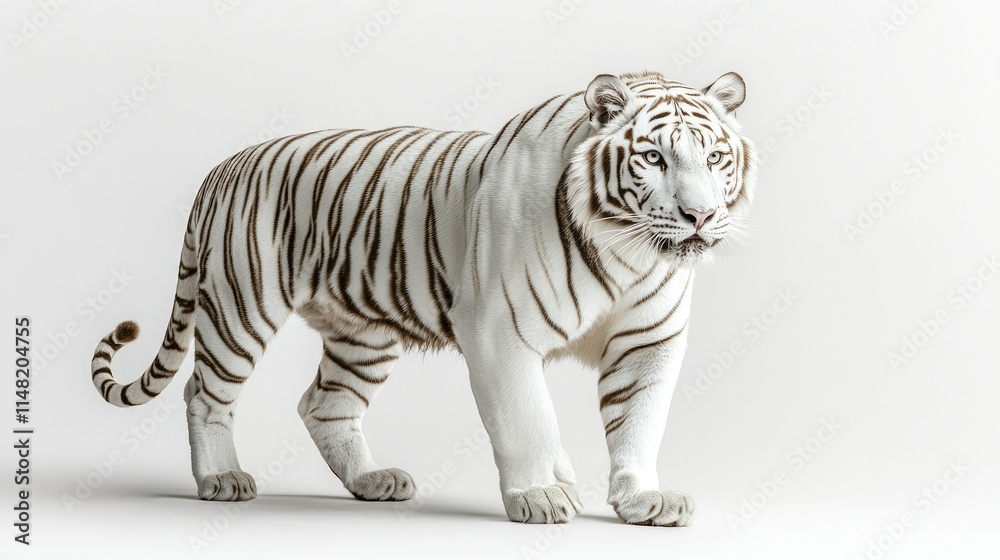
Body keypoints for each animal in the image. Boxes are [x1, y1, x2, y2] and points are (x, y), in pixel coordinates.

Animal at [90, 70, 757, 526]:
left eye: (715, 158)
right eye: (653, 158)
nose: (700, 217)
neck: (627, 253)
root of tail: (223, 167)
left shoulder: (649, 343)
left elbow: (640, 422)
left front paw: (643, 498)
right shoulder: (500, 333)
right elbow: (529, 417)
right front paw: (541, 495)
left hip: (363, 334)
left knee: (324, 404)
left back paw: (372, 482)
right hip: (240, 306)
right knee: (204, 393)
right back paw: (222, 478)